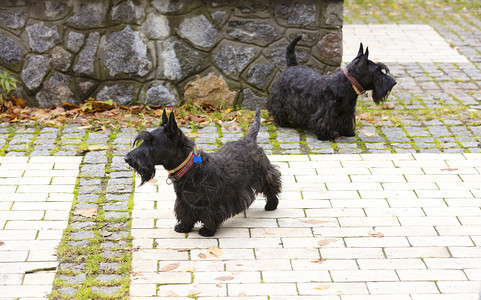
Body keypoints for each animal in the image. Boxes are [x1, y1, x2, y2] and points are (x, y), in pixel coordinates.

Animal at [124, 109, 282, 237]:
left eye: (153, 143)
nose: (127, 159)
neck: (189, 167)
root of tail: (248, 139)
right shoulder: (183, 200)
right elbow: (186, 214)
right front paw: (184, 226)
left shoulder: (210, 202)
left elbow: (210, 216)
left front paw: (207, 230)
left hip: (263, 174)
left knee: (271, 185)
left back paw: (271, 204)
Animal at [264, 35, 396, 141]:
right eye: (378, 70)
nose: (394, 82)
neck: (347, 85)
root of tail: (292, 66)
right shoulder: (325, 113)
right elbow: (323, 121)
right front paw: (324, 136)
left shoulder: (348, 112)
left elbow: (346, 122)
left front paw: (348, 132)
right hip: (280, 99)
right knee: (278, 109)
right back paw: (282, 122)